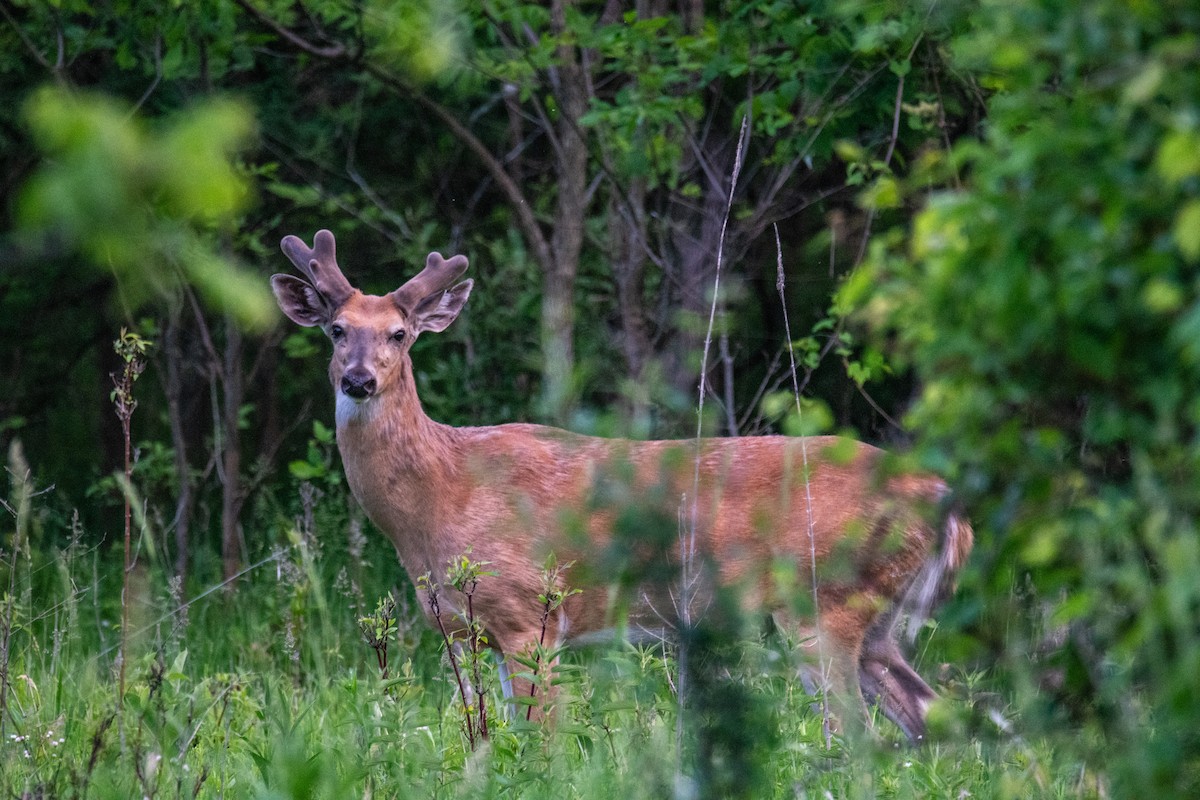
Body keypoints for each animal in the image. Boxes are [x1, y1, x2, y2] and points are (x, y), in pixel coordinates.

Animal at [270, 229, 973, 742]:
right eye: (336, 330)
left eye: (400, 333)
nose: (359, 380)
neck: (441, 496)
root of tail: (945, 502)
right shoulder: (459, 628)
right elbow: (483, 738)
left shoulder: (530, 610)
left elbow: (542, 740)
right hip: (875, 620)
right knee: (930, 716)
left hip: (824, 600)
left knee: (857, 735)